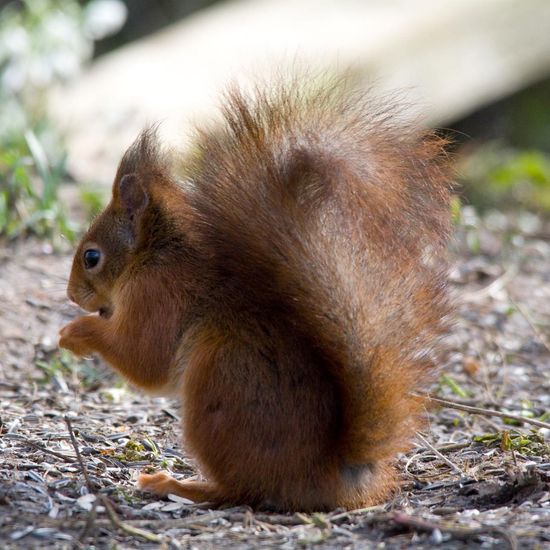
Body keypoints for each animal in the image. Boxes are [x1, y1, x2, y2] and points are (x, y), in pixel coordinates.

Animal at [59, 78, 452, 512]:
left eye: (91, 257)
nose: (73, 295)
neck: (153, 253)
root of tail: (323, 474)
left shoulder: (157, 294)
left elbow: (146, 360)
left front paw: (76, 333)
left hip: (219, 389)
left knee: (239, 490)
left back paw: (176, 485)